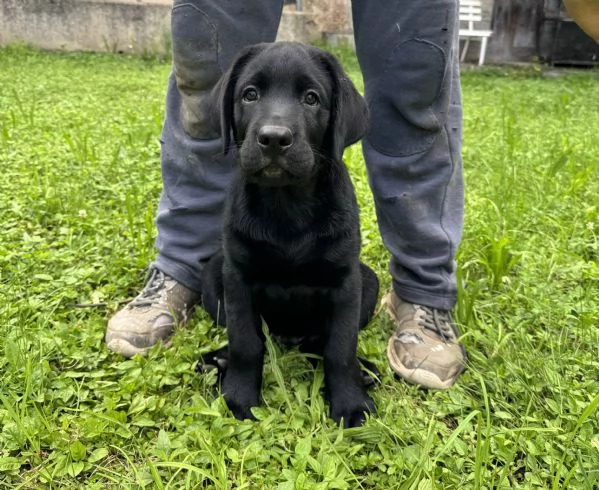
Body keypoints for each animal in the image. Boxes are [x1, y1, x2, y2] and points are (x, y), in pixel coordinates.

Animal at [200, 42, 380, 426]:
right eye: (250, 95)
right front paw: (239, 397)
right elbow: (246, 342)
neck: (287, 205)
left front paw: (350, 403)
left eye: (311, 98)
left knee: (319, 342)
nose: (273, 139)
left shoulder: (346, 282)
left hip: (369, 282)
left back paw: (364, 370)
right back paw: (218, 359)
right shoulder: (237, 279)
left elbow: (340, 348)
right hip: (212, 278)